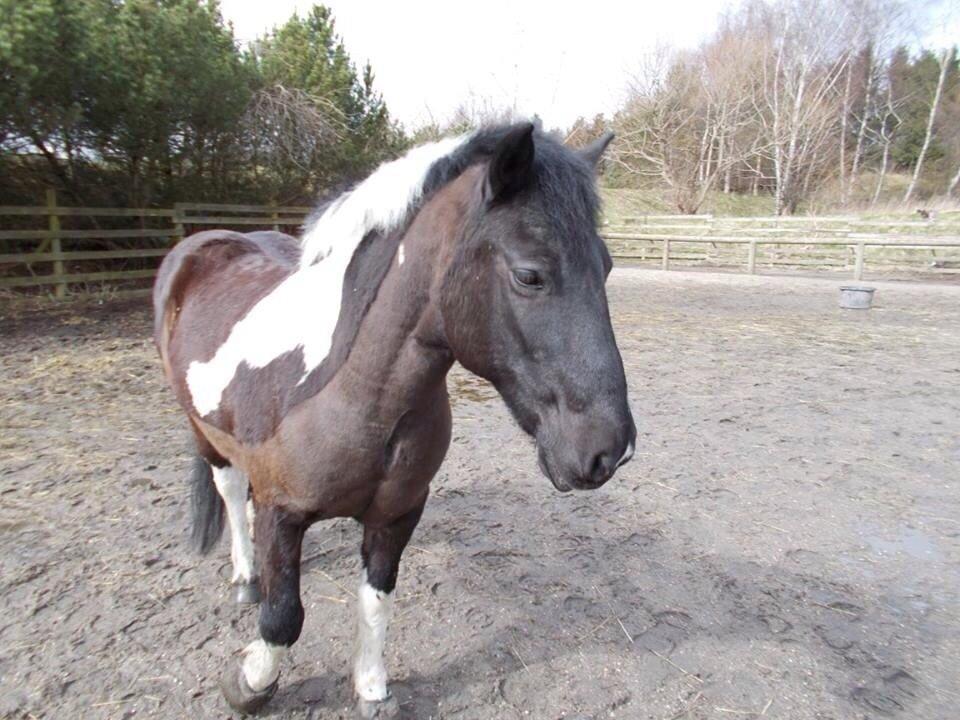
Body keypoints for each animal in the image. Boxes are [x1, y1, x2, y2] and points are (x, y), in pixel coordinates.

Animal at [153, 122, 636, 716]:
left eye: (606, 266)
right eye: (529, 275)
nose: (610, 449)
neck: (353, 391)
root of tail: (201, 243)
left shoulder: (397, 513)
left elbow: (375, 600)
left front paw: (372, 687)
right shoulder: (280, 512)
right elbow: (284, 615)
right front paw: (250, 682)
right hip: (203, 433)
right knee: (227, 489)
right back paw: (246, 576)